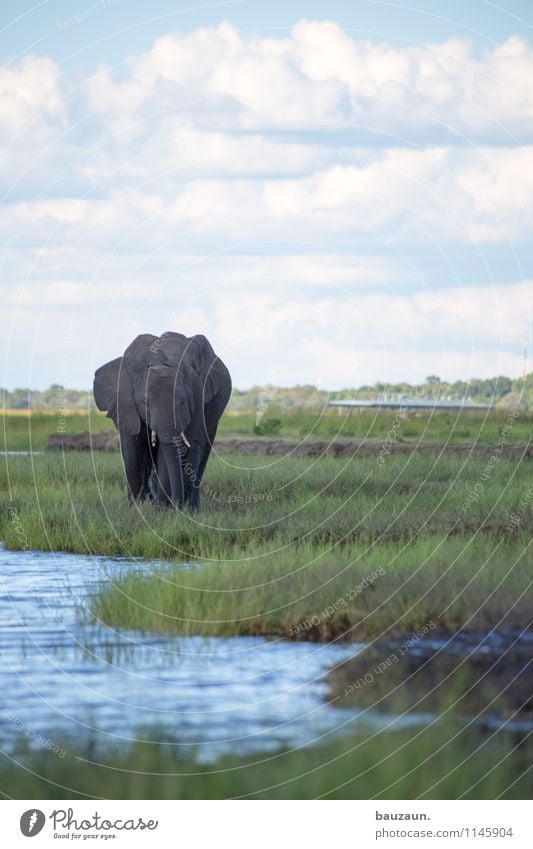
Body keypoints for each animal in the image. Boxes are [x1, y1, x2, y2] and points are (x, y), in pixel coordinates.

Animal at [93, 332, 231, 510]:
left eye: (183, 402)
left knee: (200, 450)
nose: (177, 505)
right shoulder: (124, 405)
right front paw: (138, 508)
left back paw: (190, 508)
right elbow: (133, 448)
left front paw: (162, 509)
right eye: (145, 402)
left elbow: (169, 451)